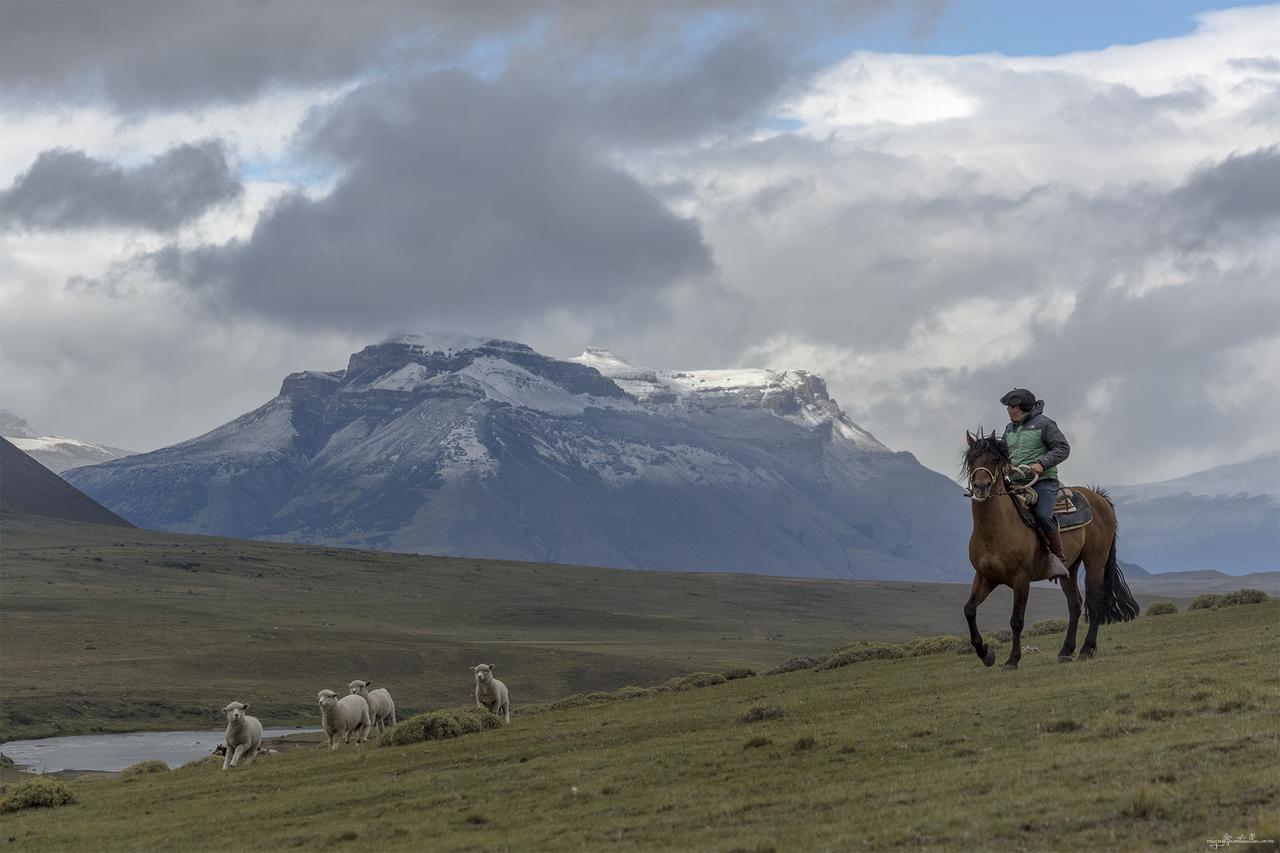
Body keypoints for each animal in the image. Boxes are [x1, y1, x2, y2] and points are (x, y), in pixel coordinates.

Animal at [962, 427, 1141, 666]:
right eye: (971, 459)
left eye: (994, 459)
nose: (981, 487)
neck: (996, 531)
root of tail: (1100, 498)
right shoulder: (985, 577)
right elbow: (969, 610)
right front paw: (986, 653)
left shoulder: (1021, 579)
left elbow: (1016, 621)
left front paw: (1012, 660)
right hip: (1070, 568)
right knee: (1075, 605)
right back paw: (1066, 651)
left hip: (1095, 560)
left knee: (1096, 602)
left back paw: (1086, 649)